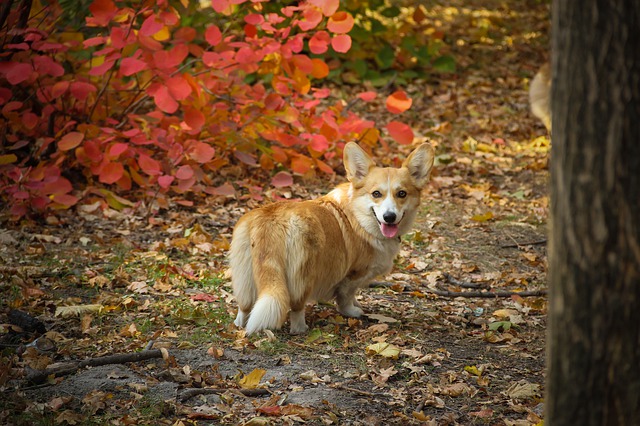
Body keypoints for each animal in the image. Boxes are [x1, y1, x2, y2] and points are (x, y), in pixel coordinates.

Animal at [230, 141, 436, 334]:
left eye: (402, 194)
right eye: (376, 194)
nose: (389, 217)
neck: (359, 215)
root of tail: (270, 220)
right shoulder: (353, 275)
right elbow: (346, 296)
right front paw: (352, 310)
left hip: (245, 274)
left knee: (245, 307)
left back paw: (240, 325)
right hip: (303, 277)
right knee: (296, 308)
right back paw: (301, 328)